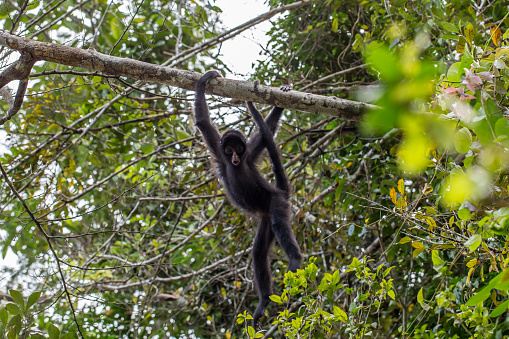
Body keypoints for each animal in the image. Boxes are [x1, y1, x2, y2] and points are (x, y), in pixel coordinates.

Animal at [192, 70, 300, 328]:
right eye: (228, 149)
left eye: (238, 149)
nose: (234, 159)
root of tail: (279, 193)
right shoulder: (218, 150)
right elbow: (203, 123)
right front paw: (205, 80)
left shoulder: (250, 154)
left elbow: (265, 132)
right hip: (265, 217)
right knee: (258, 254)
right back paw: (264, 302)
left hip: (275, 203)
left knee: (280, 224)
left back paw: (295, 260)